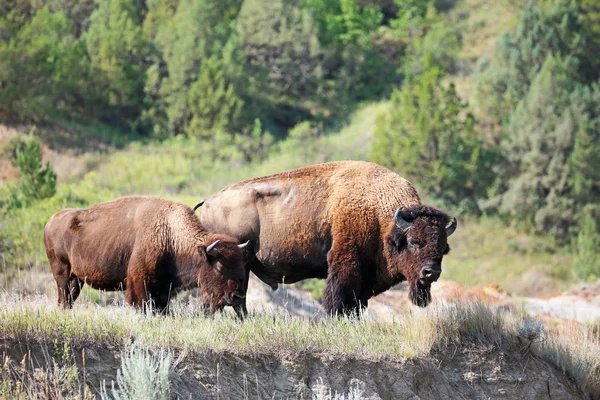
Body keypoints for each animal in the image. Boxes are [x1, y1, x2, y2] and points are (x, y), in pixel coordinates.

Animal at [42, 196, 248, 316]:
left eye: (240, 265)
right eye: (220, 266)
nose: (237, 296)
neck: (170, 233)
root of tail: (50, 222)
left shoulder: (163, 290)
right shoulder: (138, 282)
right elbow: (137, 303)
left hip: (77, 279)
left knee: (68, 299)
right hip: (62, 274)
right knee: (63, 297)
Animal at [199, 161, 458, 318]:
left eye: (444, 248)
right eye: (414, 241)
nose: (431, 272)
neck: (380, 214)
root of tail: (209, 201)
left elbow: (358, 304)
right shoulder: (345, 264)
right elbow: (339, 299)